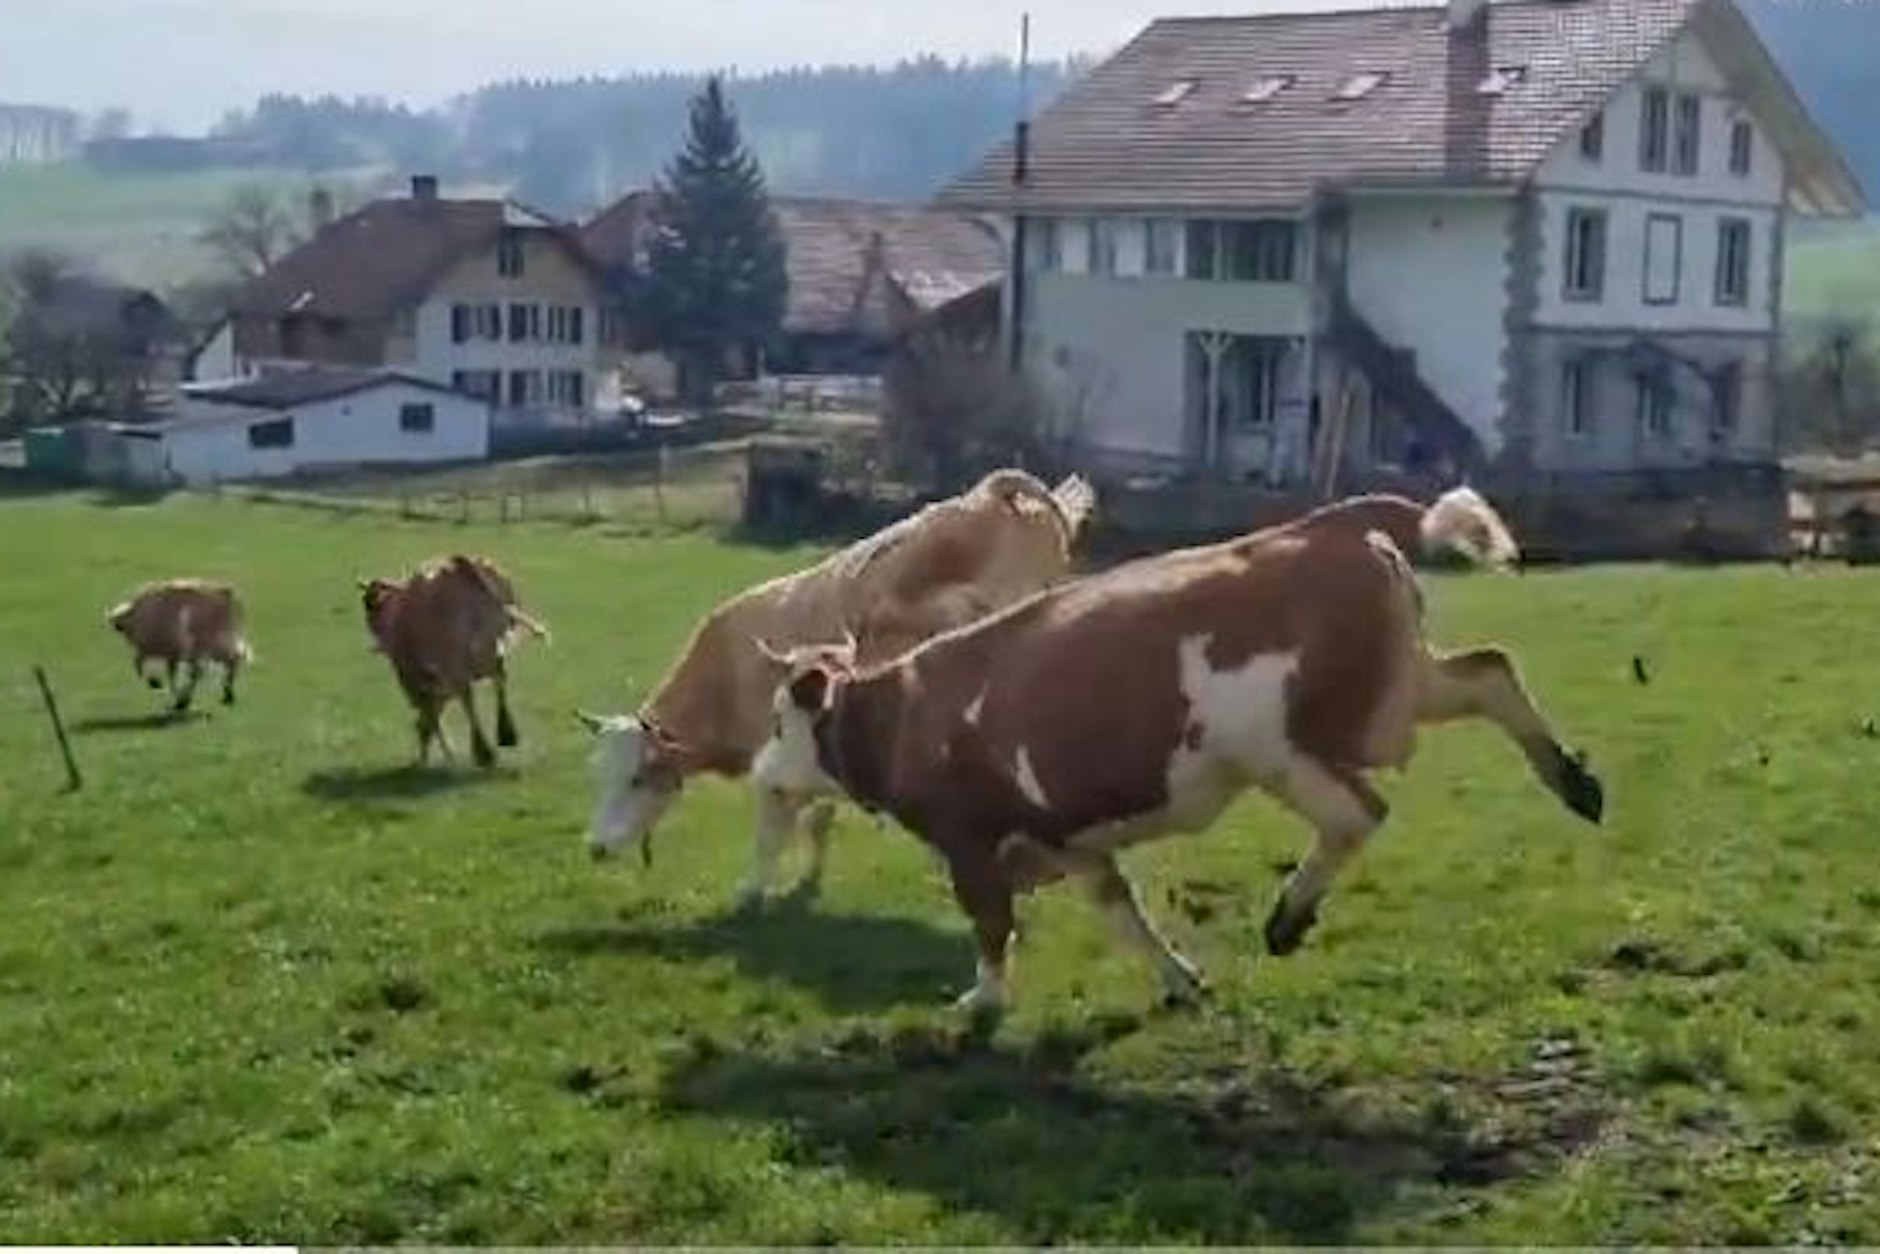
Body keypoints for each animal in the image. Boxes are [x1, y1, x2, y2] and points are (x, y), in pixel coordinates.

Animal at [106, 579, 252, 713]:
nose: (117, 626)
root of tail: (227, 593)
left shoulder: (166, 651)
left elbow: (141, 666)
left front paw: (157, 684)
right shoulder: (170, 656)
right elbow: (167, 674)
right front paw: (169, 694)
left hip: (211, 641)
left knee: (229, 660)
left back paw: (224, 695)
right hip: (211, 643)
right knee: (228, 660)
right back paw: (222, 696)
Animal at [359, 554, 549, 768]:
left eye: (369, 603)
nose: (372, 626)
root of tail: (459, 564)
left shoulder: (416, 682)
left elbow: (431, 718)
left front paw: (438, 754)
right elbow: (430, 719)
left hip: (457, 658)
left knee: (468, 696)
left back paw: (483, 750)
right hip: (490, 645)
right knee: (498, 678)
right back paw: (505, 734)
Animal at [580, 467, 1098, 910]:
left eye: (636, 777)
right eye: (599, 774)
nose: (596, 848)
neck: (728, 673)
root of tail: (988, 496)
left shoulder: (776, 767)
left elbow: (773, 834)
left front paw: (751, 894)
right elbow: (819, 822)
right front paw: (807, 880)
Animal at [750, 486, 1604, 1019]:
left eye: (782, 719)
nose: (759, 773)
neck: (904, 713)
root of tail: (1325, 525)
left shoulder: (971, 845)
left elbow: (992, 931)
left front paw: (983, 1003)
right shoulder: (1070, 842)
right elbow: (1125, 917)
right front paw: (1181, 981)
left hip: (1282, 747)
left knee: (1359, 813)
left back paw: (1288, 917)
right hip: (1393, 690)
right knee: (1489, 672)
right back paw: (1574, 782)